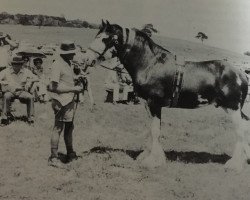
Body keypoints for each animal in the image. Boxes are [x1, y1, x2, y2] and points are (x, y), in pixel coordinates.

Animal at [82, 20, 250, 172]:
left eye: (104, 38)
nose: (85, 59)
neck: (150, 64)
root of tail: (241, 73)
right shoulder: (147, 104)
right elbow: (151, 129)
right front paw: (146, 155)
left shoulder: (155, 104)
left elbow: (156, 131)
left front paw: (152, 161)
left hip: (233, 108)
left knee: (240, 131)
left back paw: (234, 164)